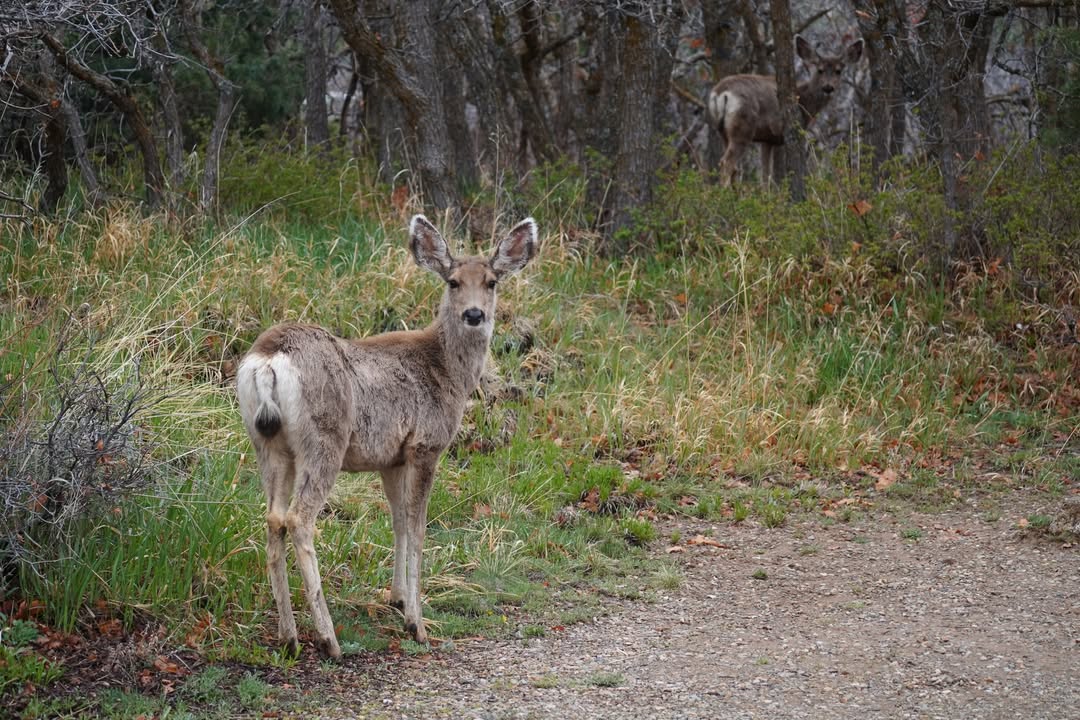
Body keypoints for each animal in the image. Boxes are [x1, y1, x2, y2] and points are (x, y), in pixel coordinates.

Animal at [235, 215, 538, 660]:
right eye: (453, 282)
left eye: (491, 281)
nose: (474, 314)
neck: (447, 372)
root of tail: (270, 359)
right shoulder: (425, 444)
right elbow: (418, 528)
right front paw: (417, 622)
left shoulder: (391, 458)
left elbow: (397, 522)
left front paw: (396, 599)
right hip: (324, 439)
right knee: (299, 519)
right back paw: (328, 639)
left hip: (267, 444)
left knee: (274, 517)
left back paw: (288, 636)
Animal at [708, 35, 864, 187]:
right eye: (820, 70)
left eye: (838, 71)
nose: (828, 87)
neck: (803, 100)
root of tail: (720, 93)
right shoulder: (784, 133)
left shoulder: (767, 139)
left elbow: (765, 174)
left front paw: (765, 193)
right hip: (743, 127)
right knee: (726, 163)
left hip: (723, 131)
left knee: (732, 167)